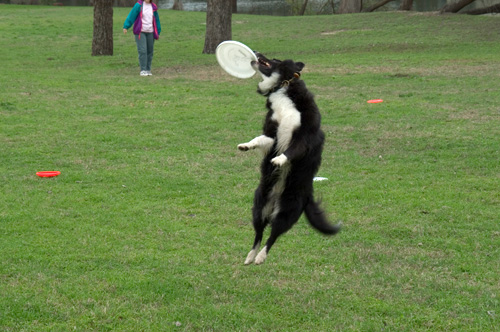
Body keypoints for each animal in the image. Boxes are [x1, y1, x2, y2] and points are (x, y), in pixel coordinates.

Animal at [237, 52, 340, 264]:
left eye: (275, 59)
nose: (257, 53)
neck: (282, 89)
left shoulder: (304, 137)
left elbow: (291, 151)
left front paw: (278, 160)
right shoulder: (271, 134)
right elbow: (259, 139)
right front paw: (246, 145)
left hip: (287, 210)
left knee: (273, 236)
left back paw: (261, 256)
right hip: (259, 207)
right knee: (259, 234)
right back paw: (251, 256)